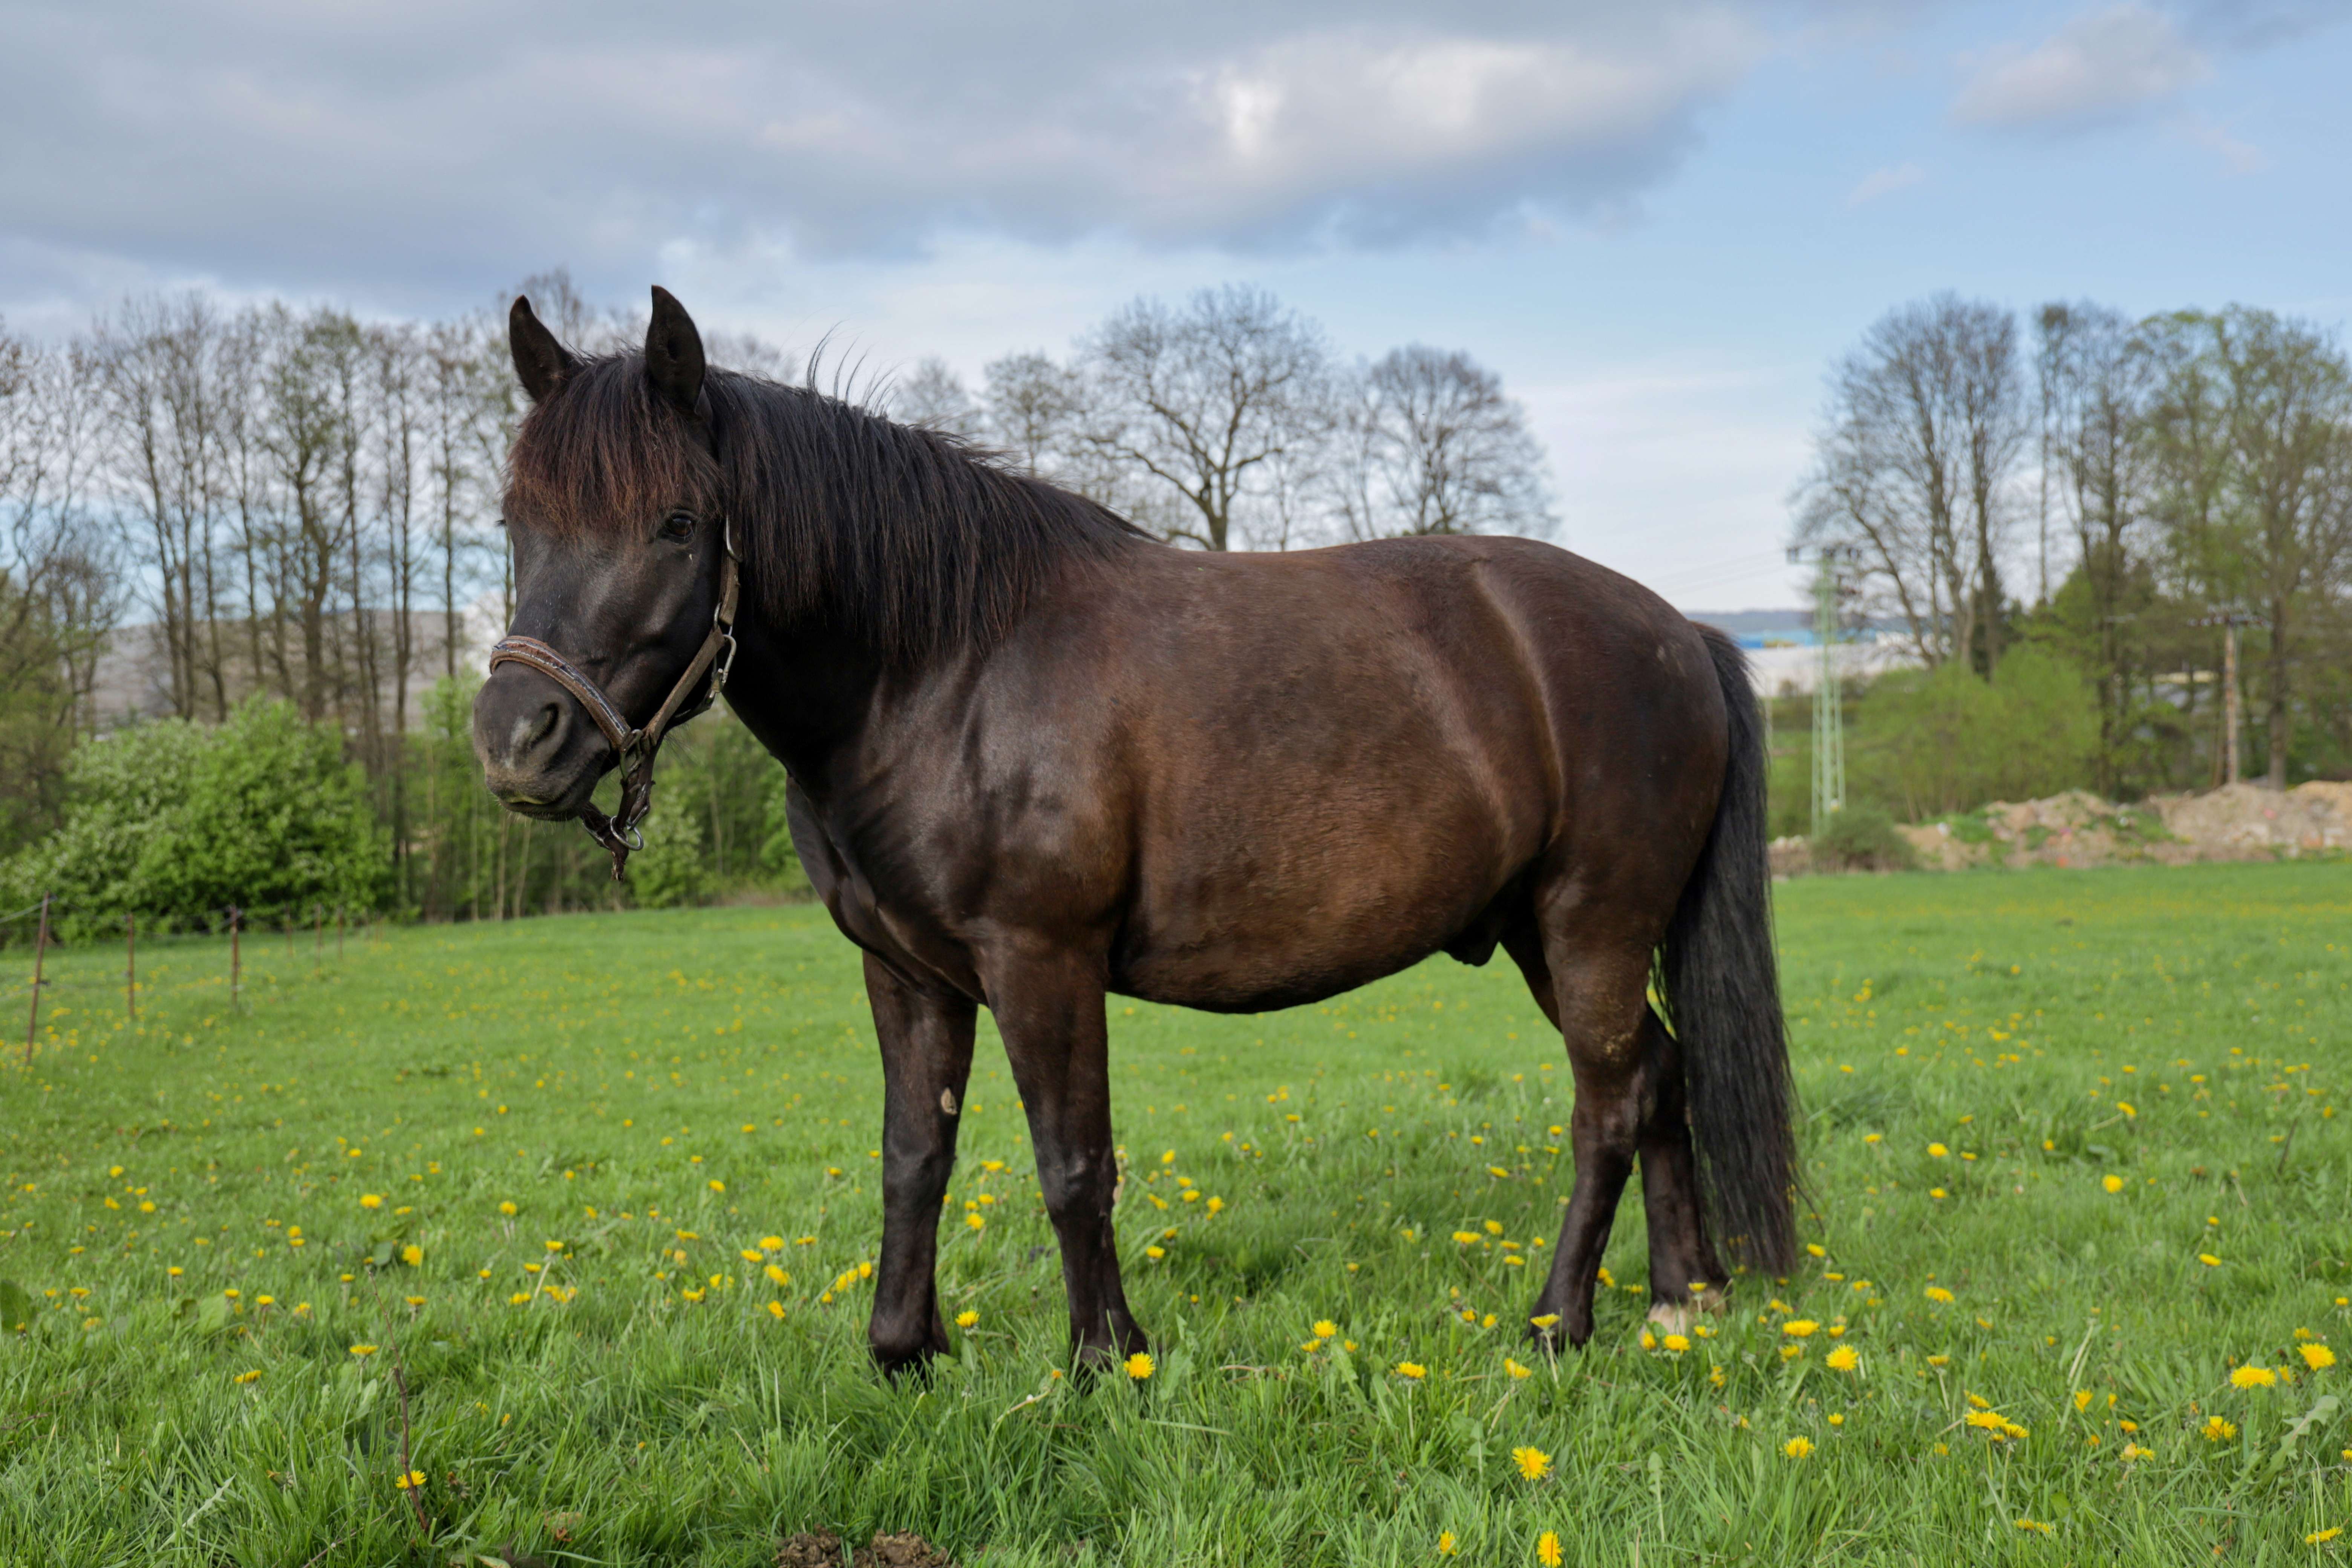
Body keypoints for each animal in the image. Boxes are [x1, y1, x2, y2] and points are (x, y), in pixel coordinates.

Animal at [477, 291, 1797, 1373]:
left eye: (676, 523)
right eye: (513, 522)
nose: (514, 738)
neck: (944, 668)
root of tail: (1680, 631)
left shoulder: (1041, 961)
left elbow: (1072, 1164)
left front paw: (1105, 1360)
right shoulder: (906, 972)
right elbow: (914, 1159)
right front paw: (904, 1354)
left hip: (1591, 926)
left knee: (1608, 1105)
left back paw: (1557, 1323)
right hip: (1547, 933)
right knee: (1661, 1074)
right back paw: (1684, 1299)